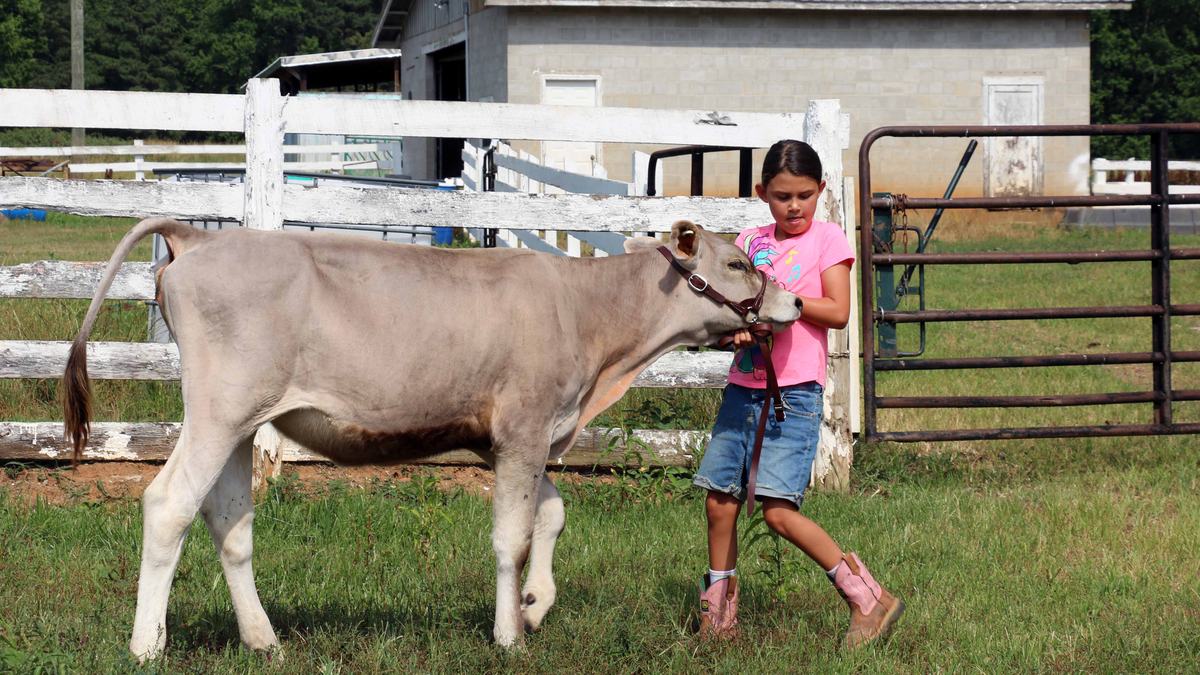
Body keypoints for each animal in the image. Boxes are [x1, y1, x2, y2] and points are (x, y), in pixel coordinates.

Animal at [63, 217, 801, 660]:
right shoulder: (526, 425)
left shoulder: (520, 436)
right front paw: (509, 636)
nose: (793, 302)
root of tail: (200, 237)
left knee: (228, 519)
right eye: (739, 261)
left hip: (242, 424)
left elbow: (553, 513)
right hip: (217, 411)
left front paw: (535, 605)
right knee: (168, 505)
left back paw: (264, 640)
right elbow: (512, 536)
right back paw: (147, 646)